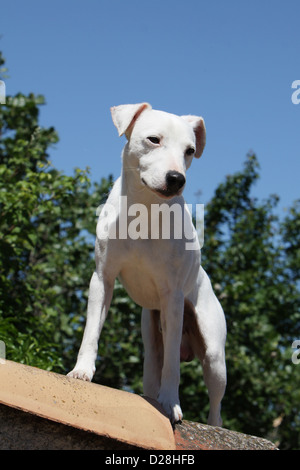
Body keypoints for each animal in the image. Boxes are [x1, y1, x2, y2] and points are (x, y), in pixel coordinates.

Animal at [68, 103, 226, 426]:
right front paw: (82, 371)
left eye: (190, 150)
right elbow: (91, 332)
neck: (145, 211)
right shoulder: (102, 278)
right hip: (152, 340)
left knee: (215, 404)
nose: (177, 178)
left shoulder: (173, 298)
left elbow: (173, 367)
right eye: (154, 139)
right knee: (155, 368)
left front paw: (171, 402)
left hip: (215, 358)